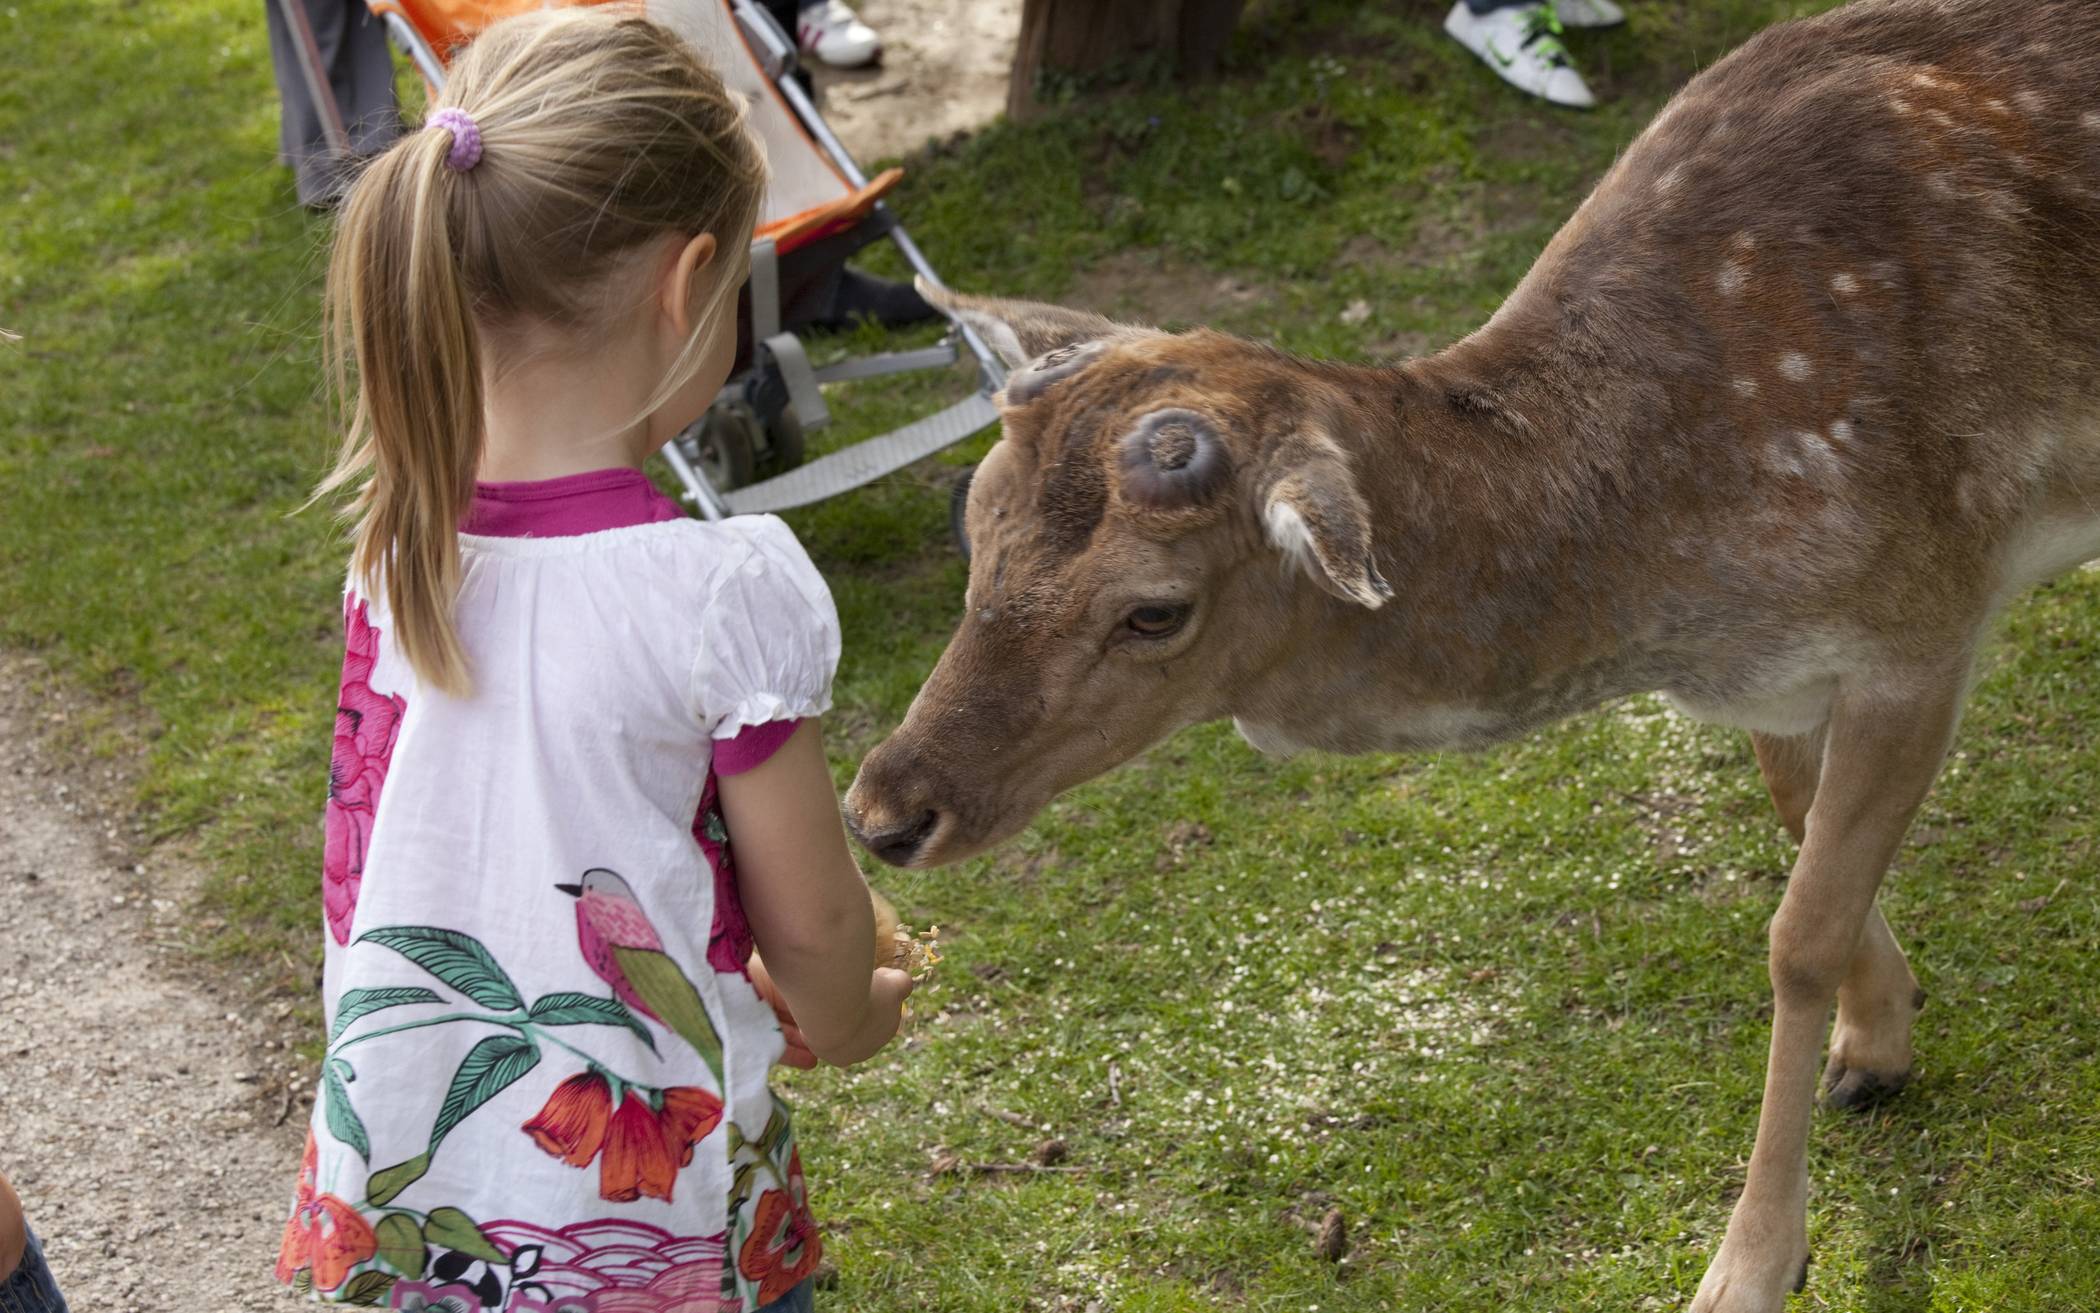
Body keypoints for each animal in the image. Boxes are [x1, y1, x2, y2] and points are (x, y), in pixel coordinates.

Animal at [839, 2, 2100, 1310]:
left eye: (1154, 611)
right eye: (975, 517)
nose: (884, 810)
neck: (1681, 581)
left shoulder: (1924, 614)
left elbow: (1795, 933)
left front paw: (1750, 1262)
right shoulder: (1788, 675)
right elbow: (1803, 840)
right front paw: (1881, 1040)